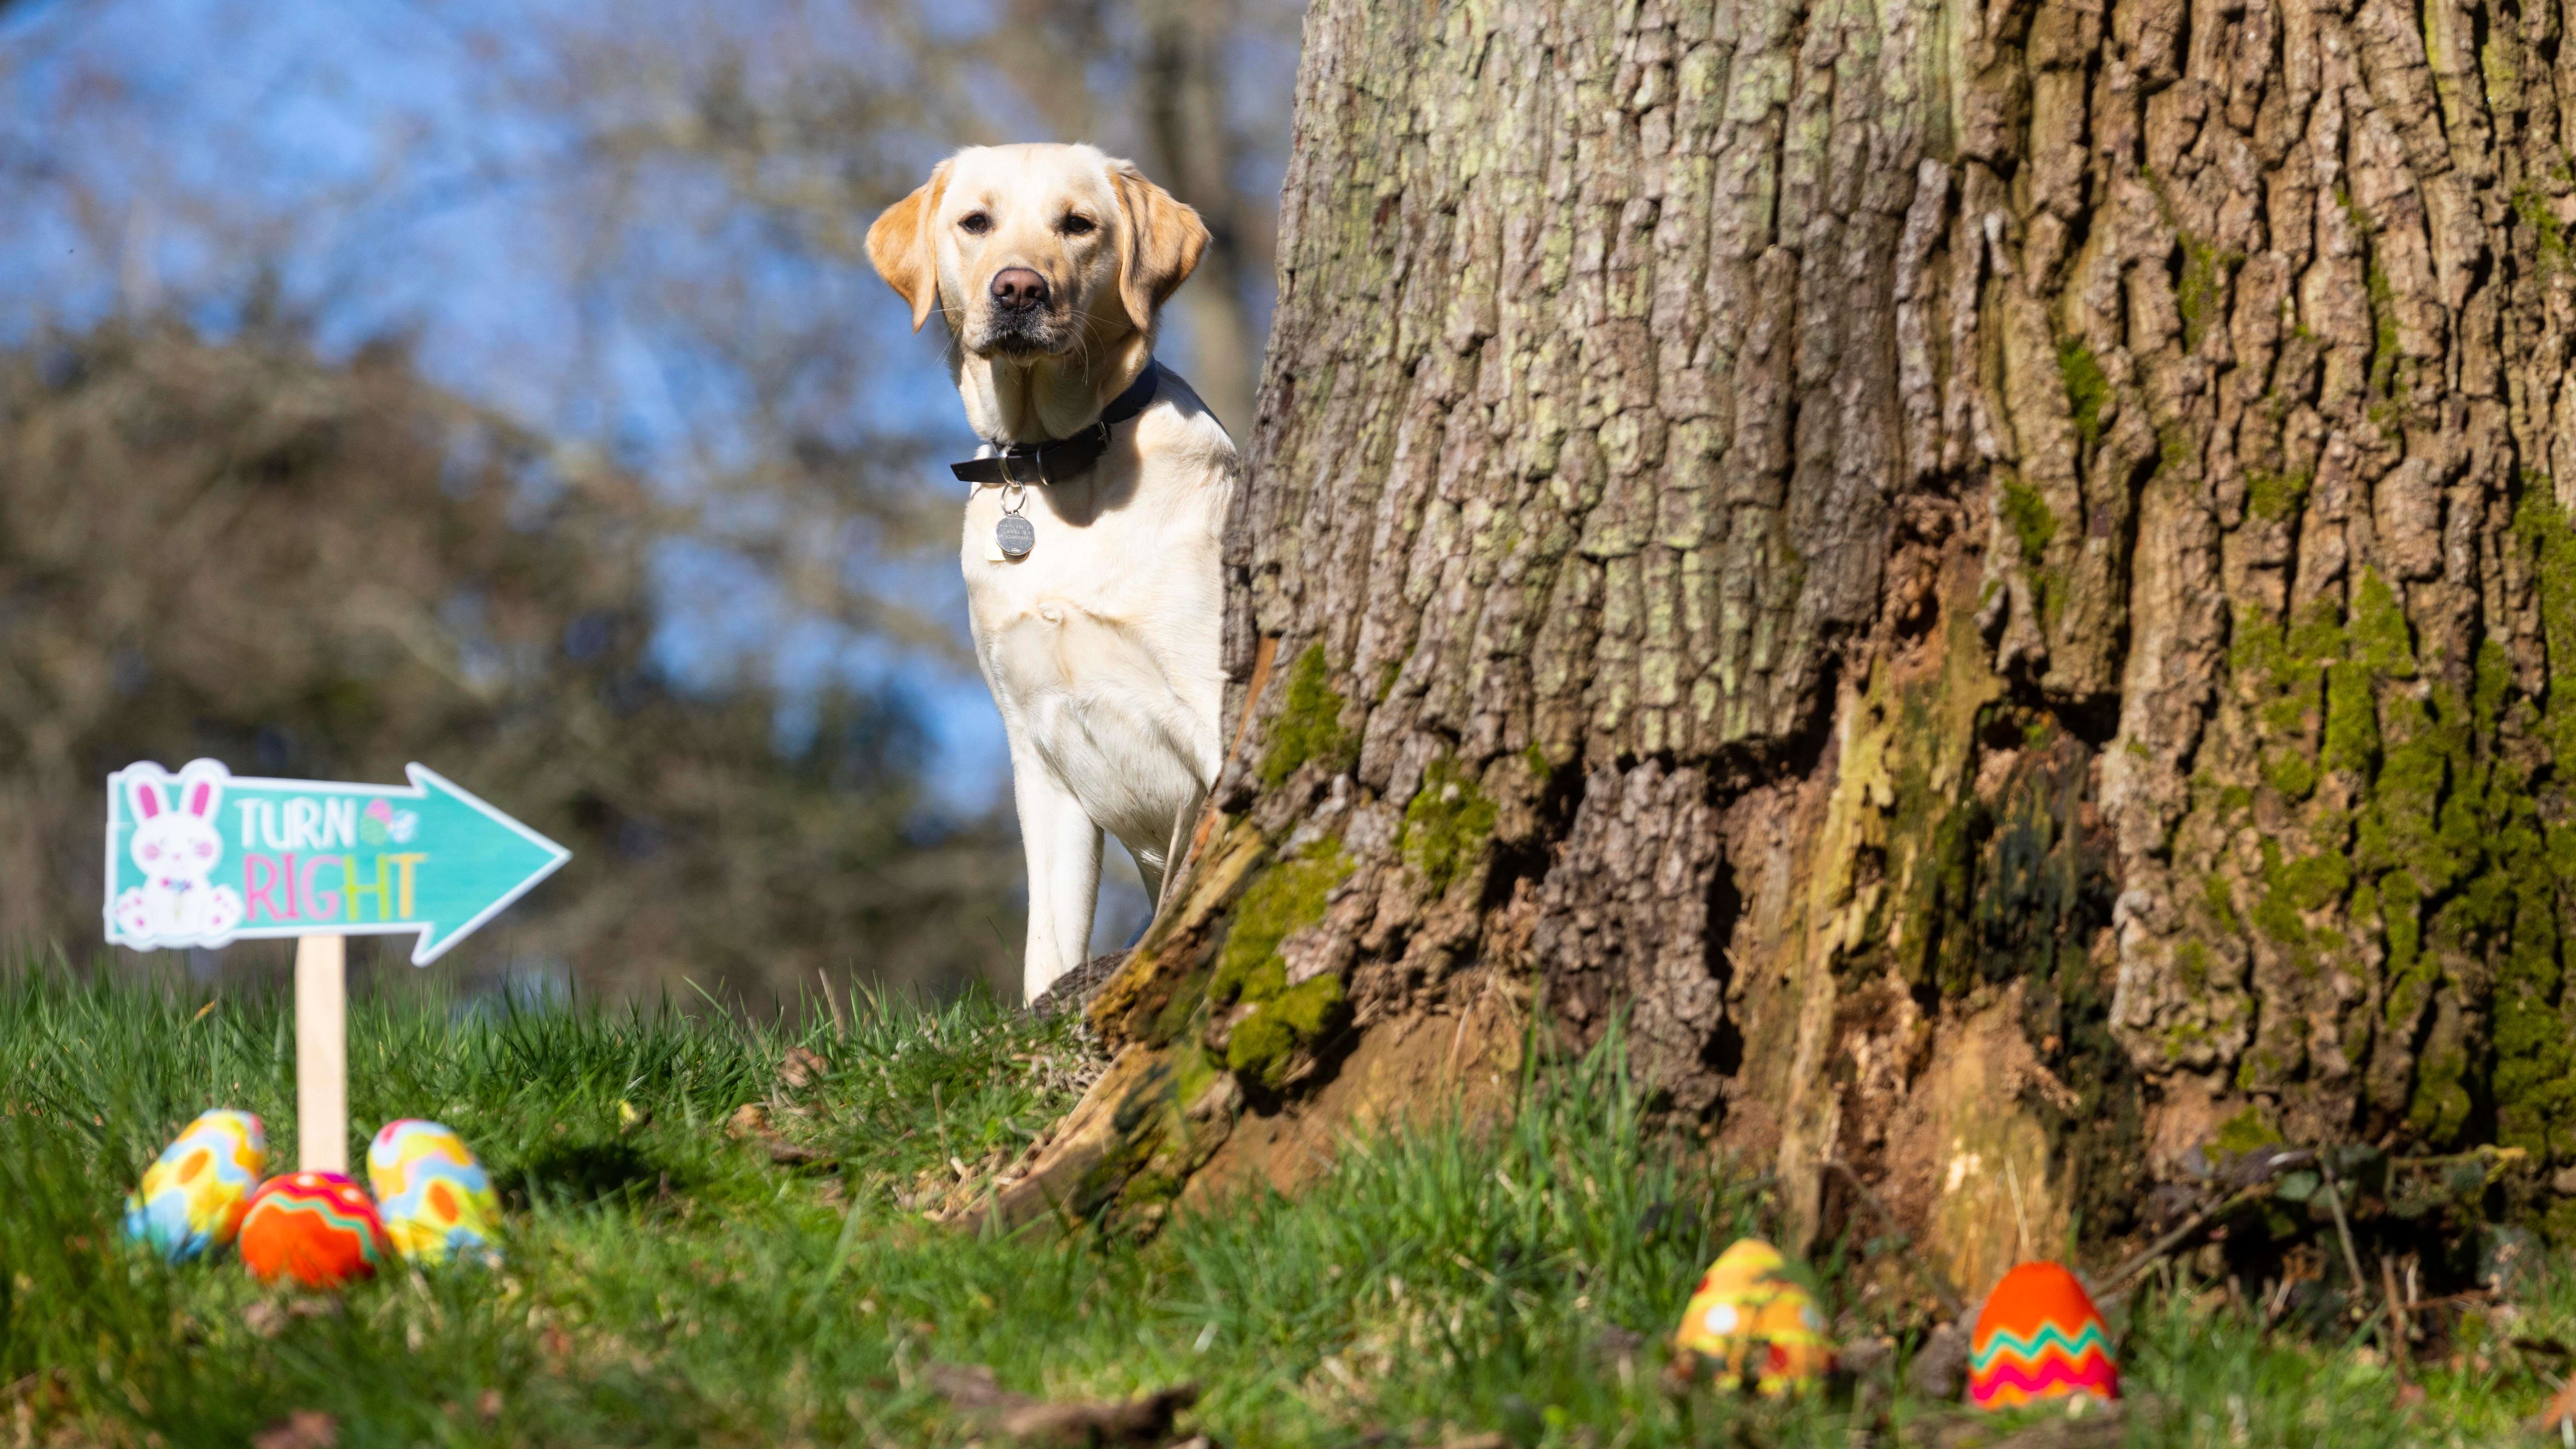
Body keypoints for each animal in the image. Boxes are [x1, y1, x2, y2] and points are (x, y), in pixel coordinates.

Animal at [870, 149, 1241, 1005]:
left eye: (1078, 225)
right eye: (976, 222)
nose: (1018, 289)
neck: (1055, 464)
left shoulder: (1212, 716)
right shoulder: (1039, 755)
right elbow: (1050, 944)